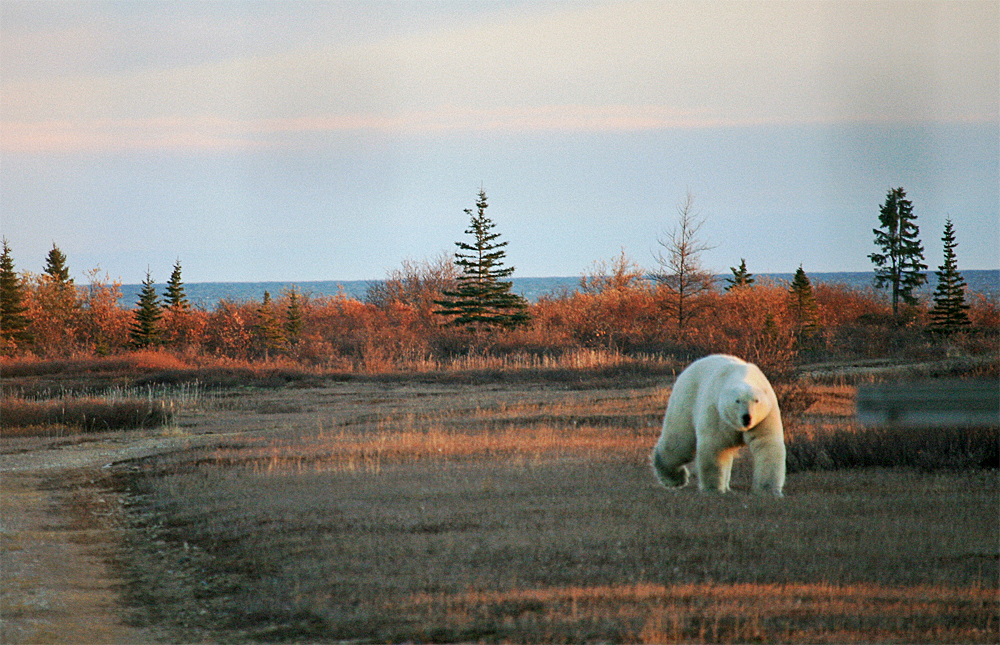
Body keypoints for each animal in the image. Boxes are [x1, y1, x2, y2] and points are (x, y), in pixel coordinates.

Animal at [652, 354, 784, 496]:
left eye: (756, 400)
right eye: (737, 401)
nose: (747, 417)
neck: (742, 375)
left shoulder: (765, 416)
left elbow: (766, 444)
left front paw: (769, 489)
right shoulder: (717, 412)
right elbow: (715, 447)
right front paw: (713, 488)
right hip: (686, 400)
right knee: (680, 442)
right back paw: (674, 478)